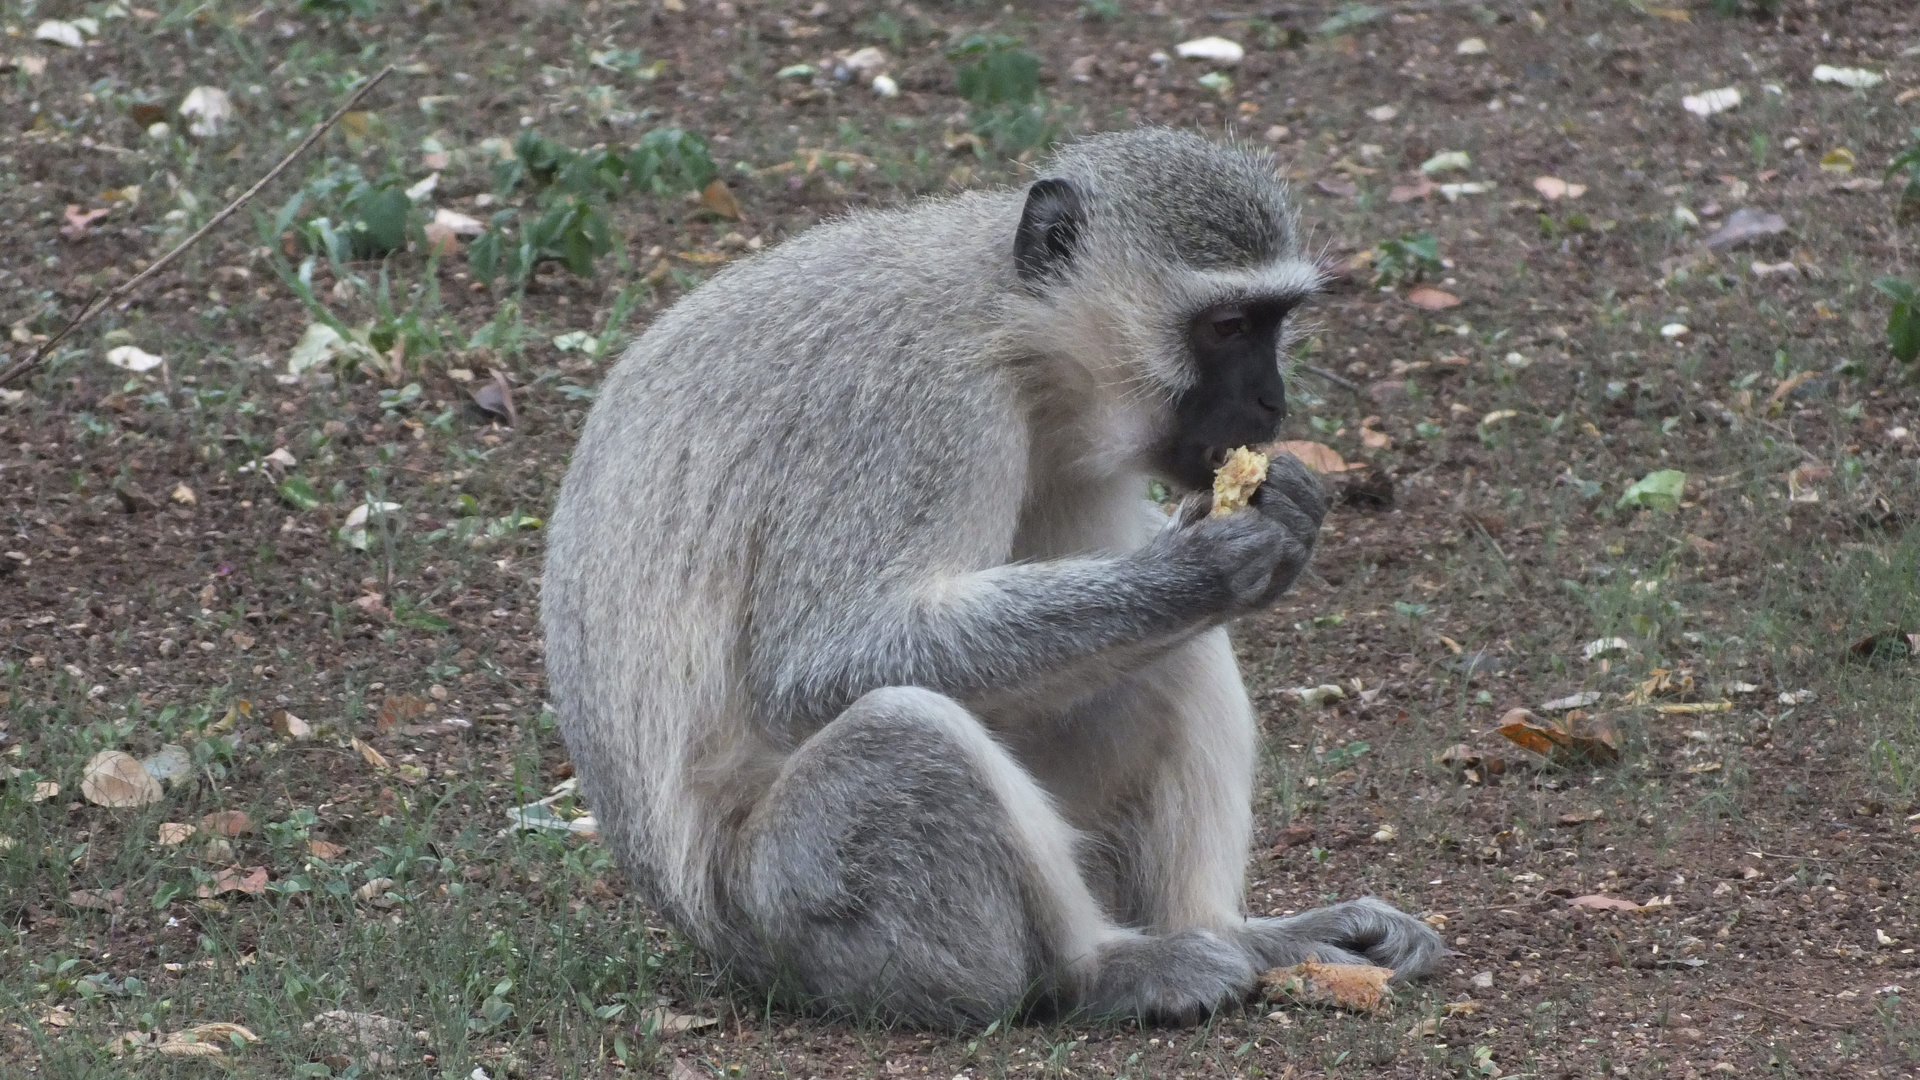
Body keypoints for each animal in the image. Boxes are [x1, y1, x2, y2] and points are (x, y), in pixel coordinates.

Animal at [541, 127, 1443, 1022]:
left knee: (1165, 653)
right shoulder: (916, 407)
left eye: (1273, 321)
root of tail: (716, 945)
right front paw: (1204, 565)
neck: (1013, 330)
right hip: (792, 913)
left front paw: (1282, 510)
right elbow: (816, 663)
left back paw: (1242, 937)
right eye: (1226, 327)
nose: (1271, 405)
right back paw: (1096, 971)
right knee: (904, 736)